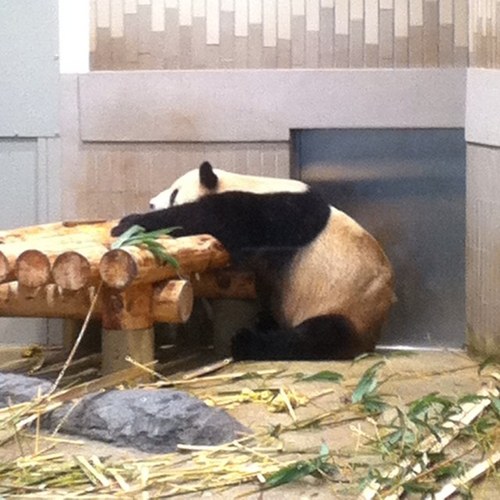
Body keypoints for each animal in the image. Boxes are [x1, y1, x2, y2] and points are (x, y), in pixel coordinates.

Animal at [112, 160, 394, 360]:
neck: (248, 182)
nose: (151, 203)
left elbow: (215, 219)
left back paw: (247, 342)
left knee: (319, 336)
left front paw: (129, 223)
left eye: (174, 193)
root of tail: (372, 338)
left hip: (345, 306)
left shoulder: (276, 211)